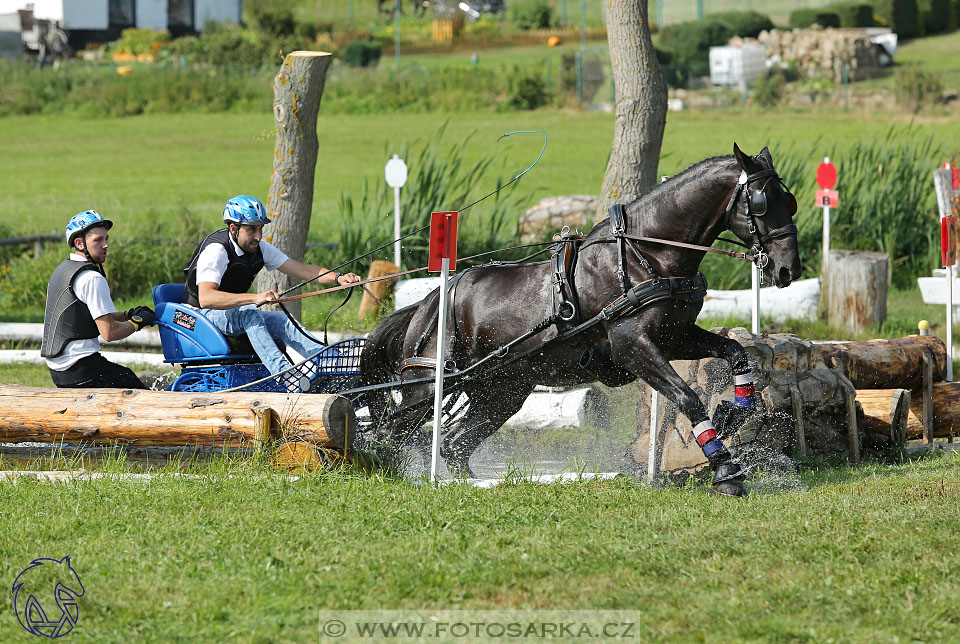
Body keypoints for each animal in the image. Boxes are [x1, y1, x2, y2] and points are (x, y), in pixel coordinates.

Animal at [360, 147, 804, 498]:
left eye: (791, 199)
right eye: (761, 202)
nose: (788, 269)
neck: (646, 254)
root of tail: (429, 301)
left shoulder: (674, 337)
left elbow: (735, 351)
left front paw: (735, 411)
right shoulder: (633, 346)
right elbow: (687, 396)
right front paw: (726, 471)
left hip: (501, 392)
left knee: (454, 444)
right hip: (427, 387)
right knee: (394, 435)